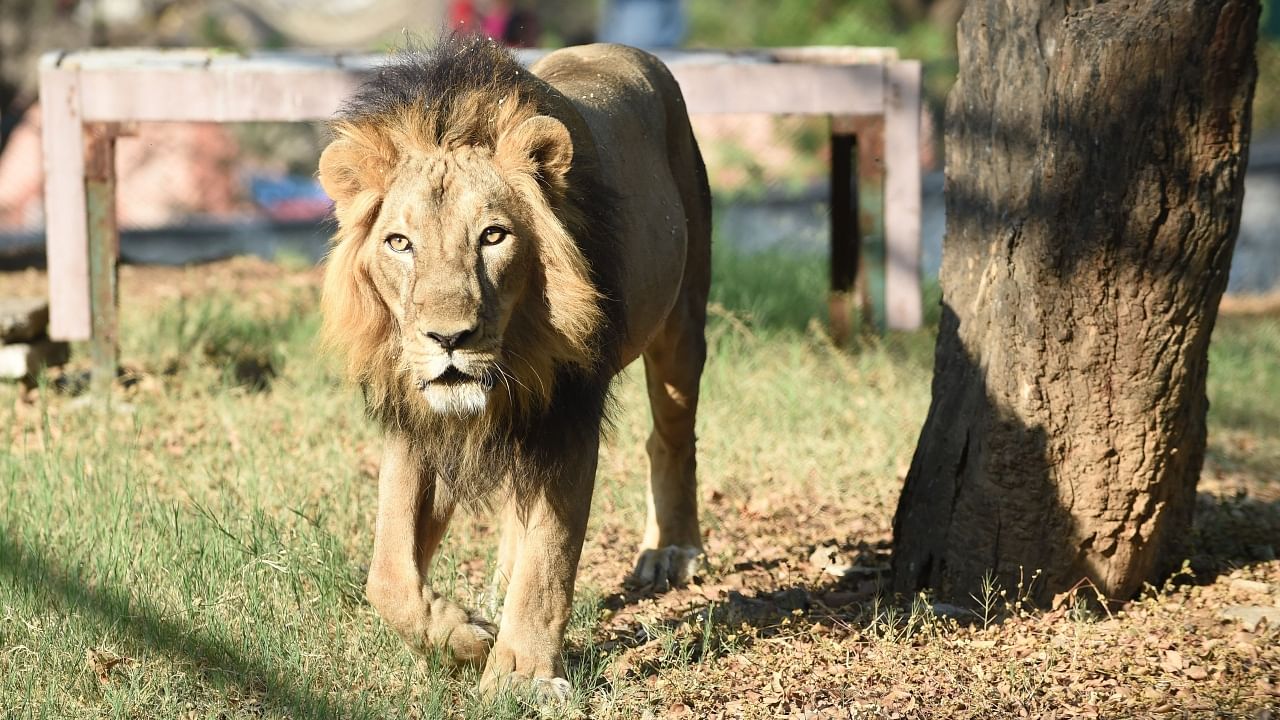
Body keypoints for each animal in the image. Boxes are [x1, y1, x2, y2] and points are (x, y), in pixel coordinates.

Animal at [312, 35, 711, 696]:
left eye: (493, 237)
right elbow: (387, 575)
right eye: (400, 243)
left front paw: (521, 676)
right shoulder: (418, 421)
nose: (448, 338)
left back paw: (671, 552)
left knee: (672, 437)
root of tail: (625, 50)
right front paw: (465, 636)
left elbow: (549, 560)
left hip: (682, 321)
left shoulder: (568, 416)